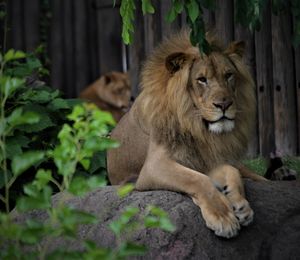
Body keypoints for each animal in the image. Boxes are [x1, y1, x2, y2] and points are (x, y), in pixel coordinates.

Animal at [106, 30, 266, 238]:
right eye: (202, 79)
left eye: (228, 75)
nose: (224, 105)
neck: (196, 127)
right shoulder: (153, 167)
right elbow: (196, 179)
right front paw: (222, 217)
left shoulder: (205, 161)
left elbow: (231, 171)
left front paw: (240, 205)